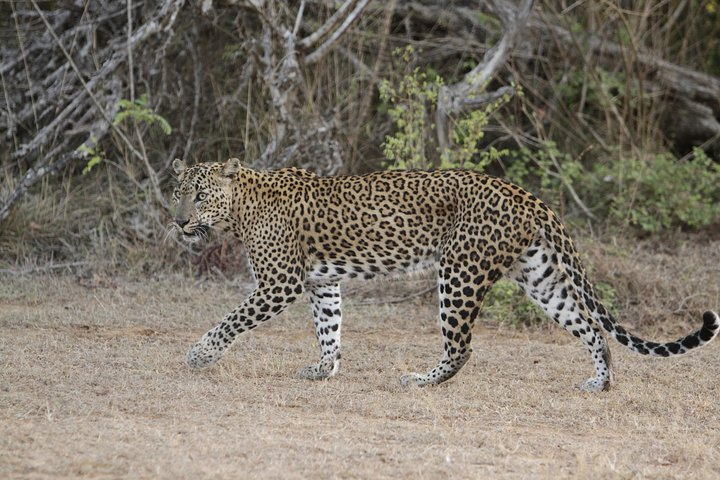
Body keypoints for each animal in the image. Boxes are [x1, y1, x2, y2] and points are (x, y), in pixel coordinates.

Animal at [172, 157, 719, 392]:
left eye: (198, 196)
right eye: (178, 193)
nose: (177, 221)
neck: (239, 207)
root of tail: (526, 194)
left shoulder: (279, 283)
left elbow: (231, 320)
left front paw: (199, 355)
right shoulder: (321, 282)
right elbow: (330, 328)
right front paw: (324, 370)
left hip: (458, 271)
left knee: (462, 347)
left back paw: (422, 380)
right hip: (539, 277)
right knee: (590, 328)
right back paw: (599, 384)